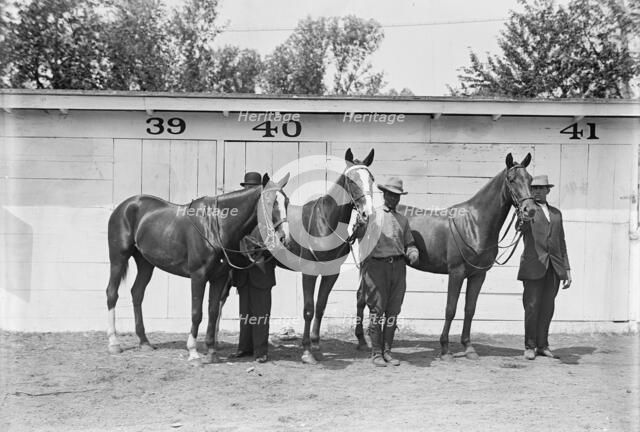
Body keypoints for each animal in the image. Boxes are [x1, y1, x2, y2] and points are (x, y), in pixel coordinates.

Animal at [105, 172, 290, 364]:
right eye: (269, 201)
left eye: (286, 202)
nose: (283, 239)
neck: (214, 226)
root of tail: (125, 206)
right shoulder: (198, 276)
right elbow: (197, 313)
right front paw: (193, 352)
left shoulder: (219, 278)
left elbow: (213, 311)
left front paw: (211, 351)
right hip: (118, 258)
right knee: (112, 293)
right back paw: (114, 343)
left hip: (145, 263)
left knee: (137, 293)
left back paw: (144, 342)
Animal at [355, 153, 537, 361]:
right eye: (511, 179)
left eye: (530, 179)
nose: (530, 210)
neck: (473, 224)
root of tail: (367, 215)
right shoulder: (456, 273)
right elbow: (450, 309)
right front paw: (445, 348)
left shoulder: (478, 275)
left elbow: (470, 309)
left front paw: (468, 347)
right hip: (366, 266)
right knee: (361, 298)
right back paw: (362, 341)